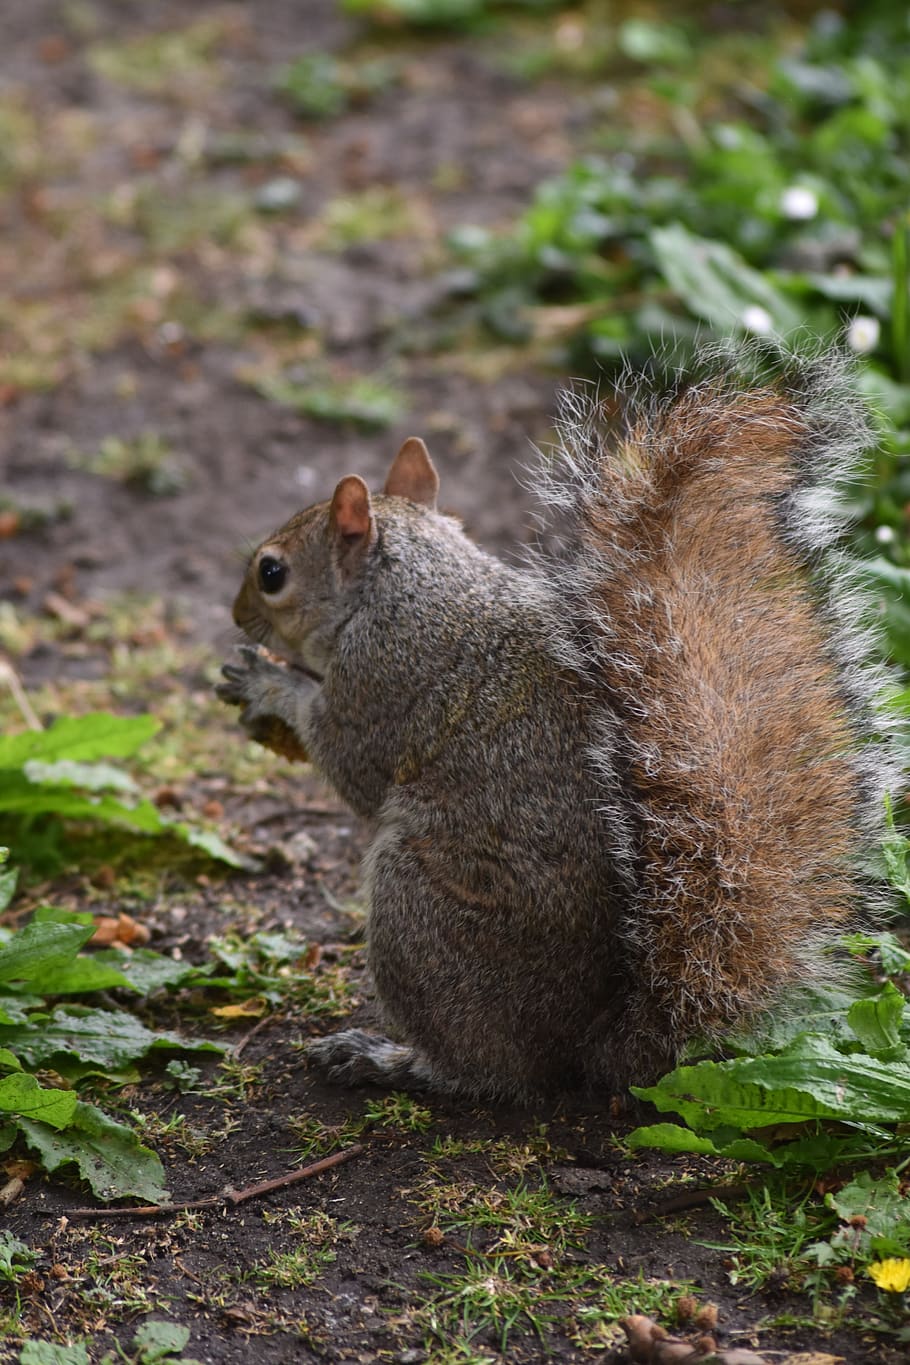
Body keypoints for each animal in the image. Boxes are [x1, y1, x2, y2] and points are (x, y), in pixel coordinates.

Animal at [216, 343, 895, 1099]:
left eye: (271, 573)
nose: (236, 613)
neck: (406, 584)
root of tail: (593, 1045)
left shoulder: (378, 679)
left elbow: (350, 763)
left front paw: (269, 685)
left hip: (417, 914)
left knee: (487, 1068)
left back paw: (391, 1058)